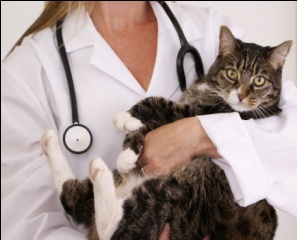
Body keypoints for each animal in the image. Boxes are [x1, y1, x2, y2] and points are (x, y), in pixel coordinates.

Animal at [41, 25, 292, 239]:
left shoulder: (200, 113)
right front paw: (127, 153)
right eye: (232, 73)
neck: (211, 90)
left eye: (259, 80)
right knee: (71, 195)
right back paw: (51, 142)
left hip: (178, 195)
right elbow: (146, 127)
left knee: (116, 229)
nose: (240, 95)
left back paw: (97, 172)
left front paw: (125, 119)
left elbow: (160, 103)